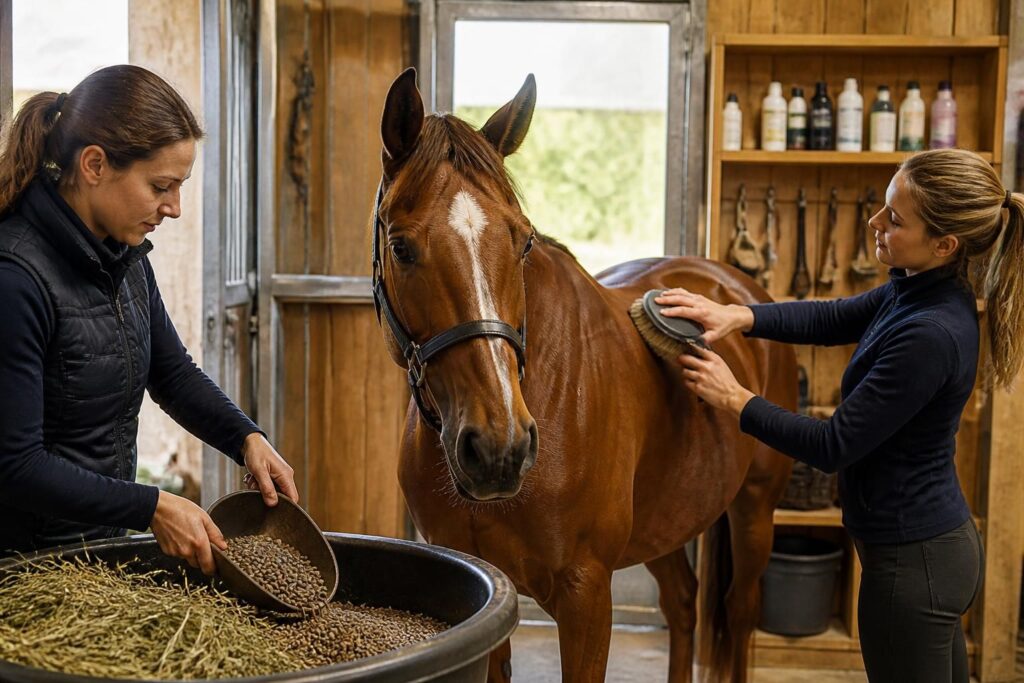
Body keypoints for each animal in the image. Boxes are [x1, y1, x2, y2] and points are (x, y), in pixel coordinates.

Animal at [371, 68, 797, 683]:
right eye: (400, 246)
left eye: (523, 239)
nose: (499, 447)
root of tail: (736, 285)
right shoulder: (490, 595)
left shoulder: (587, 597)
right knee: (683, 603)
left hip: (755, 507)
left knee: (740, 613)